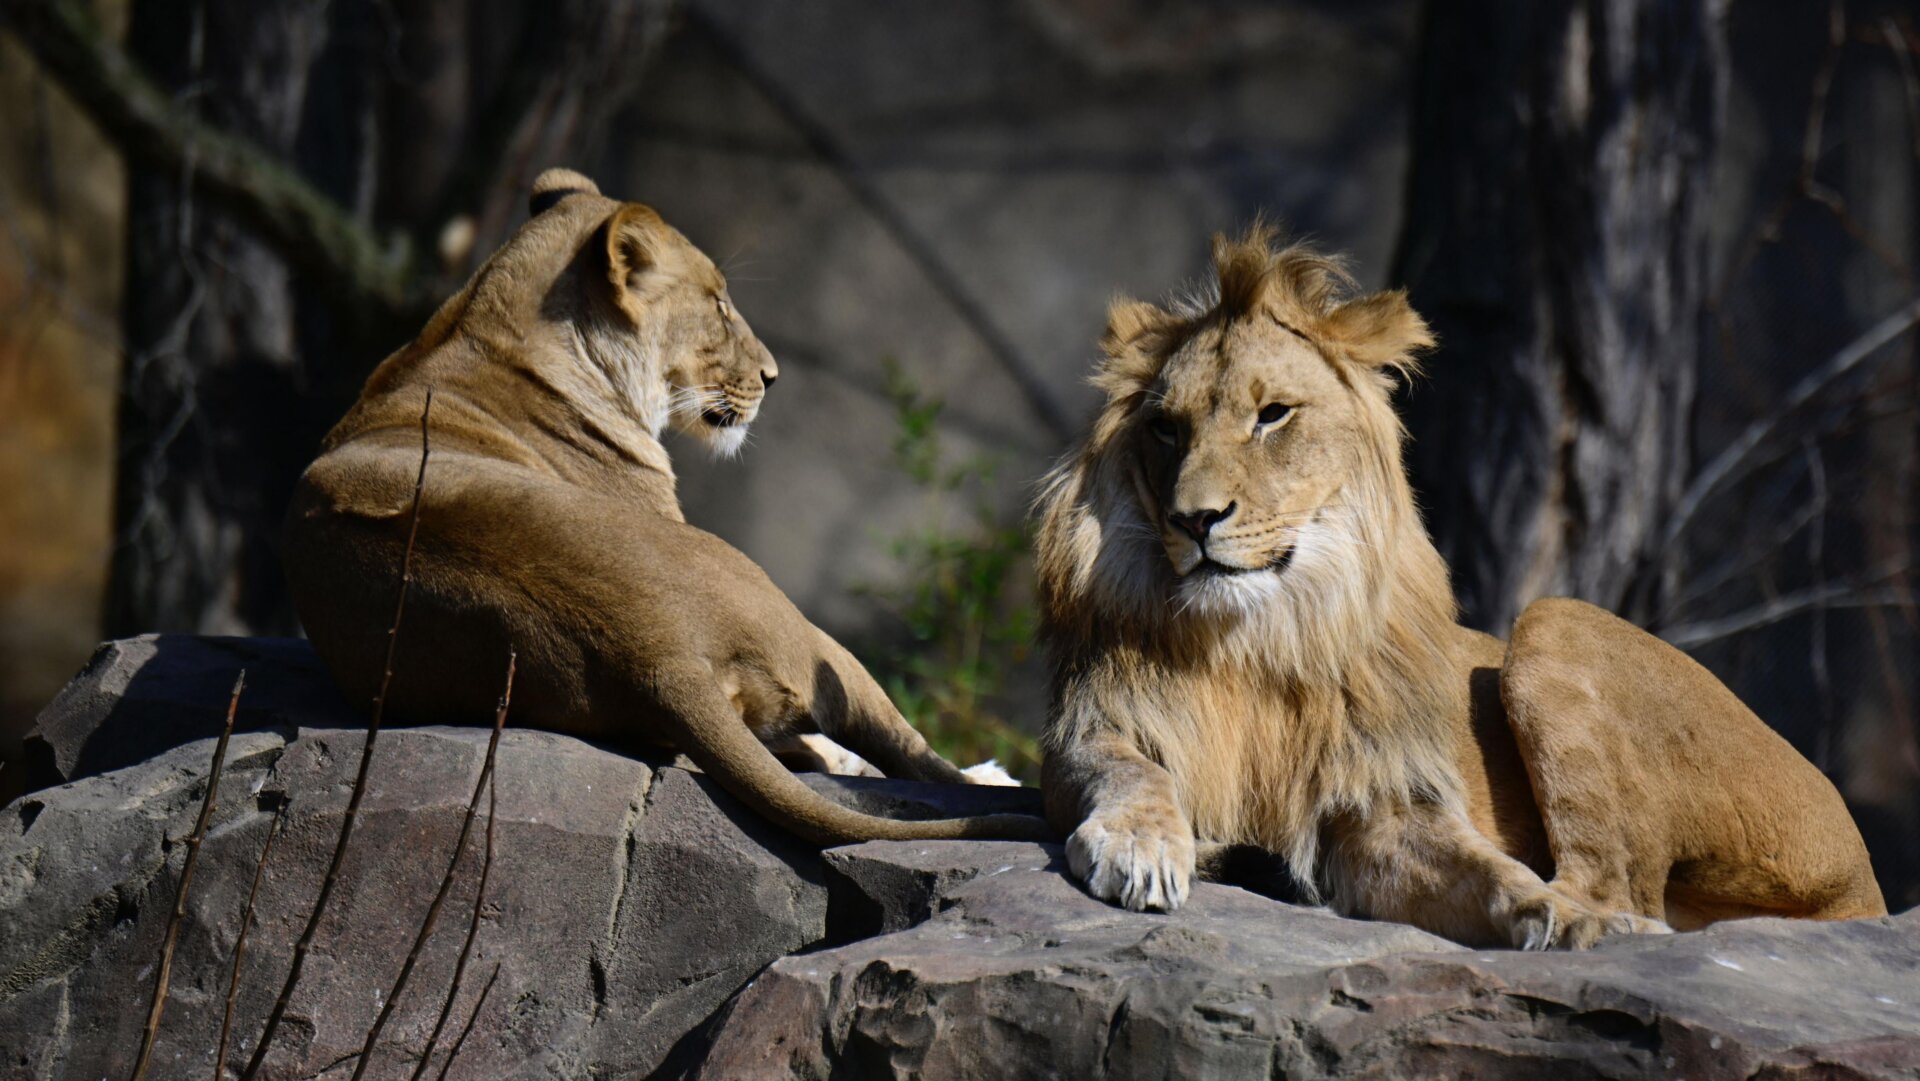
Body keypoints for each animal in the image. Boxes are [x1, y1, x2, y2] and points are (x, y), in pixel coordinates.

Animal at [283, 168, 1044, 844]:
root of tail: (656, 654)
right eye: (719, 303)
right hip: (809, 630)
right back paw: (993, 777)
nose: (772, 375)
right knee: (905, 751)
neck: (479, 332)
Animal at [1034, 225, 1886, 948]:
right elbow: (1130, 769)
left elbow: (1485, 868)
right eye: (1166, 428)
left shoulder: (1382, 799)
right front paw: (1141, 841)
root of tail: (1867, 874)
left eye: (1272, 414)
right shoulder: (1088, 731)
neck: (1260, 636)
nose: (1194, 518)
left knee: (1621, 887)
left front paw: (1560, 917)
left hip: (1556, 621)